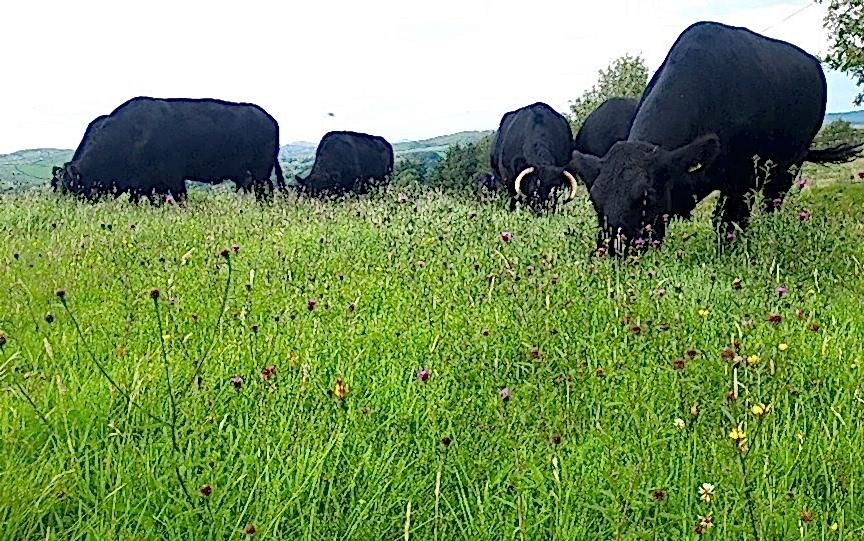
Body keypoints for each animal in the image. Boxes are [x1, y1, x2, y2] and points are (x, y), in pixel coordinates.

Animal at [568, 22, 862, 255]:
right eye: (595, 200)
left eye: (644, 198)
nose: (612, 251)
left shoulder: (742, 178)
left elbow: (727, 221)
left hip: (790, 163)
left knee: (771, 202)